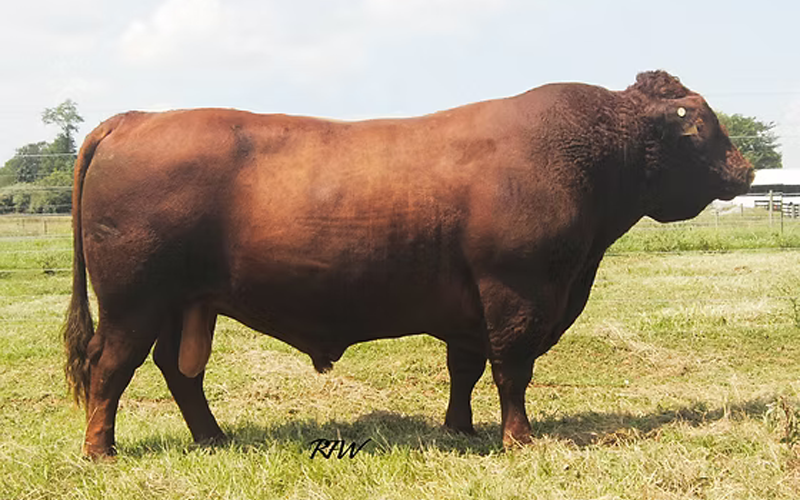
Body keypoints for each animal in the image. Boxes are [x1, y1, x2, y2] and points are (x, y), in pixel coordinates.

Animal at [63, 71, 753, 457]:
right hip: (133, 300)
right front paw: (520, 440)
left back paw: (213, 439)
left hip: (183, 304)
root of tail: (135, 118)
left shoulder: (473, 309)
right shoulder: (519, 293)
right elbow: (512, 371)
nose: (745, 170)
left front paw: (460, 431)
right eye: (700, 125)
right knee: (110, 365)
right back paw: (102, 452)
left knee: (178, 372)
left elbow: (465, 370)